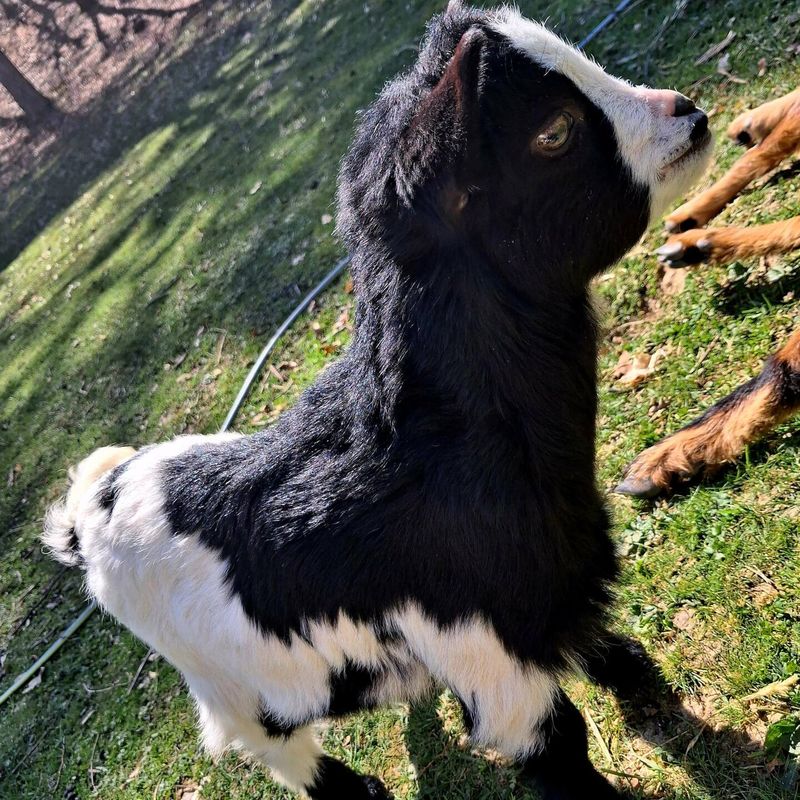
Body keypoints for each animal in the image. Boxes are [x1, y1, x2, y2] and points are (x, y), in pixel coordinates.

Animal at [43, 3, 712, 797]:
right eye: (553, 131)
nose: (694, 116)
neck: (430, 450)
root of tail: (96, 497)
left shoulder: (554, 575)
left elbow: (593, 636)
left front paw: (644, 686)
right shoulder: (485, 654)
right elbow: (558, 742)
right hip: (227, 684)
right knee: (266, 742)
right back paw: (352, 788)